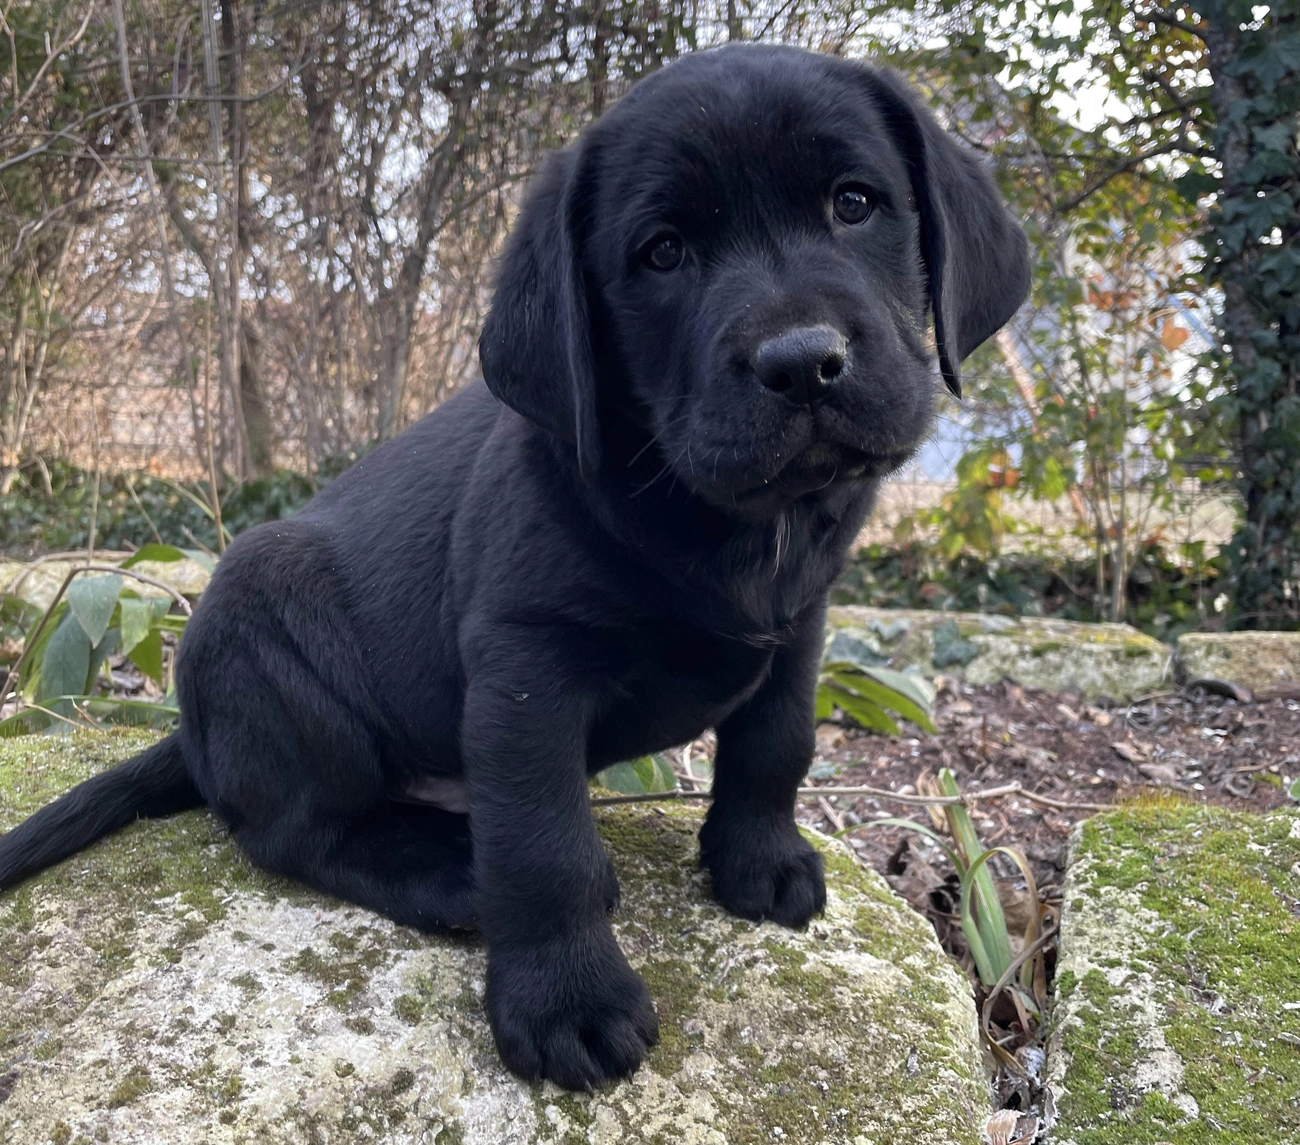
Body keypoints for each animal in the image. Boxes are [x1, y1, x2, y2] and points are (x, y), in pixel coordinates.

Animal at [0, 44, 1029, 1090]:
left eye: (854, 203)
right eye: (663, 253)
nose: (802, 362)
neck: (729, 517)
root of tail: (197, 727)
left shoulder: (802, 623)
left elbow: (775, 743)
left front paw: (758, 859)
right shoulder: (528, 669)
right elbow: (542, 844)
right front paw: (566, 1000)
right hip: (265, 621)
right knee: (292, 827)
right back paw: (448, 867)